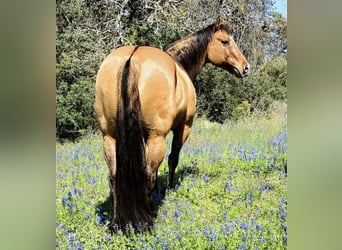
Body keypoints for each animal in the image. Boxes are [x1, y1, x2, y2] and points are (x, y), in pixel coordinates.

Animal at [95, 17, 250, 231]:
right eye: (225, 41)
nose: (245, 67)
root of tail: (132, 57)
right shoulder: (183, 127)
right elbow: (172, 159)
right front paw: (168, 188)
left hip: (110, 137)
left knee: (114, 175)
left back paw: (117, 222)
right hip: (157, 136)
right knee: (148, 173)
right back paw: (148, 219)